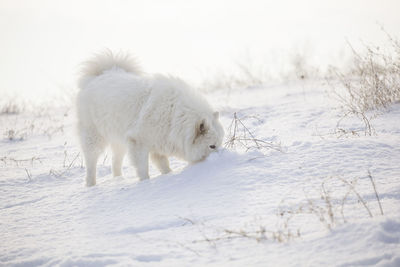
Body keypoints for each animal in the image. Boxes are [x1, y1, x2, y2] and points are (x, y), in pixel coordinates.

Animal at [76, 51, 223, 187]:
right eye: (212, 146)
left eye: (219, 144)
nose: (222, 158)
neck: (175, 115)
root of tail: (99, 75)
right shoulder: (138, 142)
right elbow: (142, 168)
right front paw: (145, 183)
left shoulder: (158, 145)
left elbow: (164, 166)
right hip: (93, 138)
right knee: (91, 163)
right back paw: (91, 185)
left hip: (119, 140)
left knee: (115, 162)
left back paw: (119, 180)